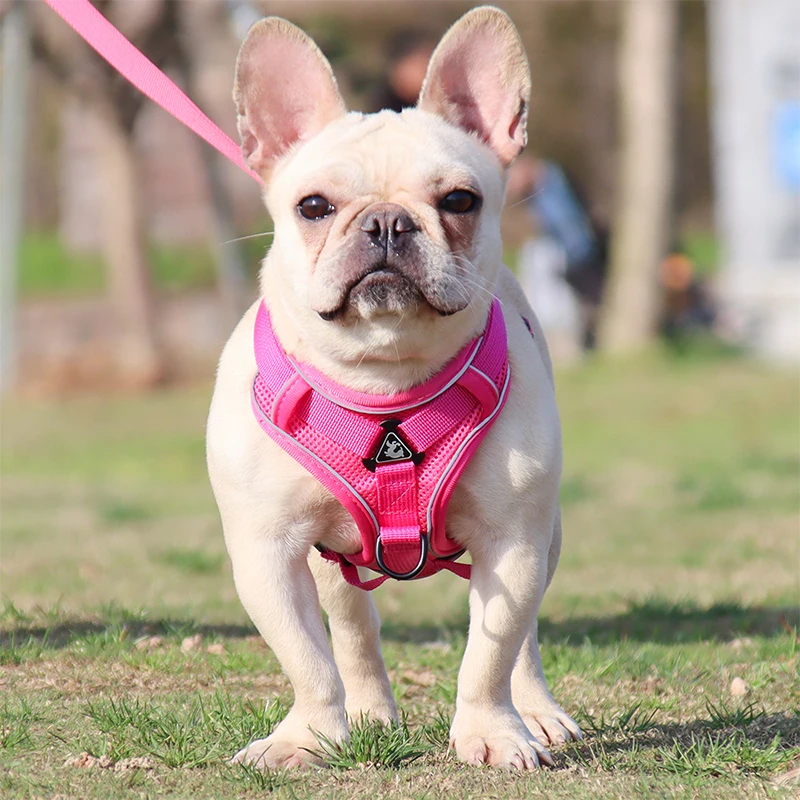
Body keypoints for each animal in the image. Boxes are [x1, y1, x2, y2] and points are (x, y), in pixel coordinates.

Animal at [206, 4, 580, 768]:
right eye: (313, 206)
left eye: (461, 200)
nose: (386, 221)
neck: (383, 381)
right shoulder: (266, 553)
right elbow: (306, 657)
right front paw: (307, 737)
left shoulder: (513, 542)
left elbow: (490, 652)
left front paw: (491, 732)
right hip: (333, 559)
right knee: (354, 627)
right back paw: (368, 713)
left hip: (545, 536)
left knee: (524, 641)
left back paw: (536, 714)